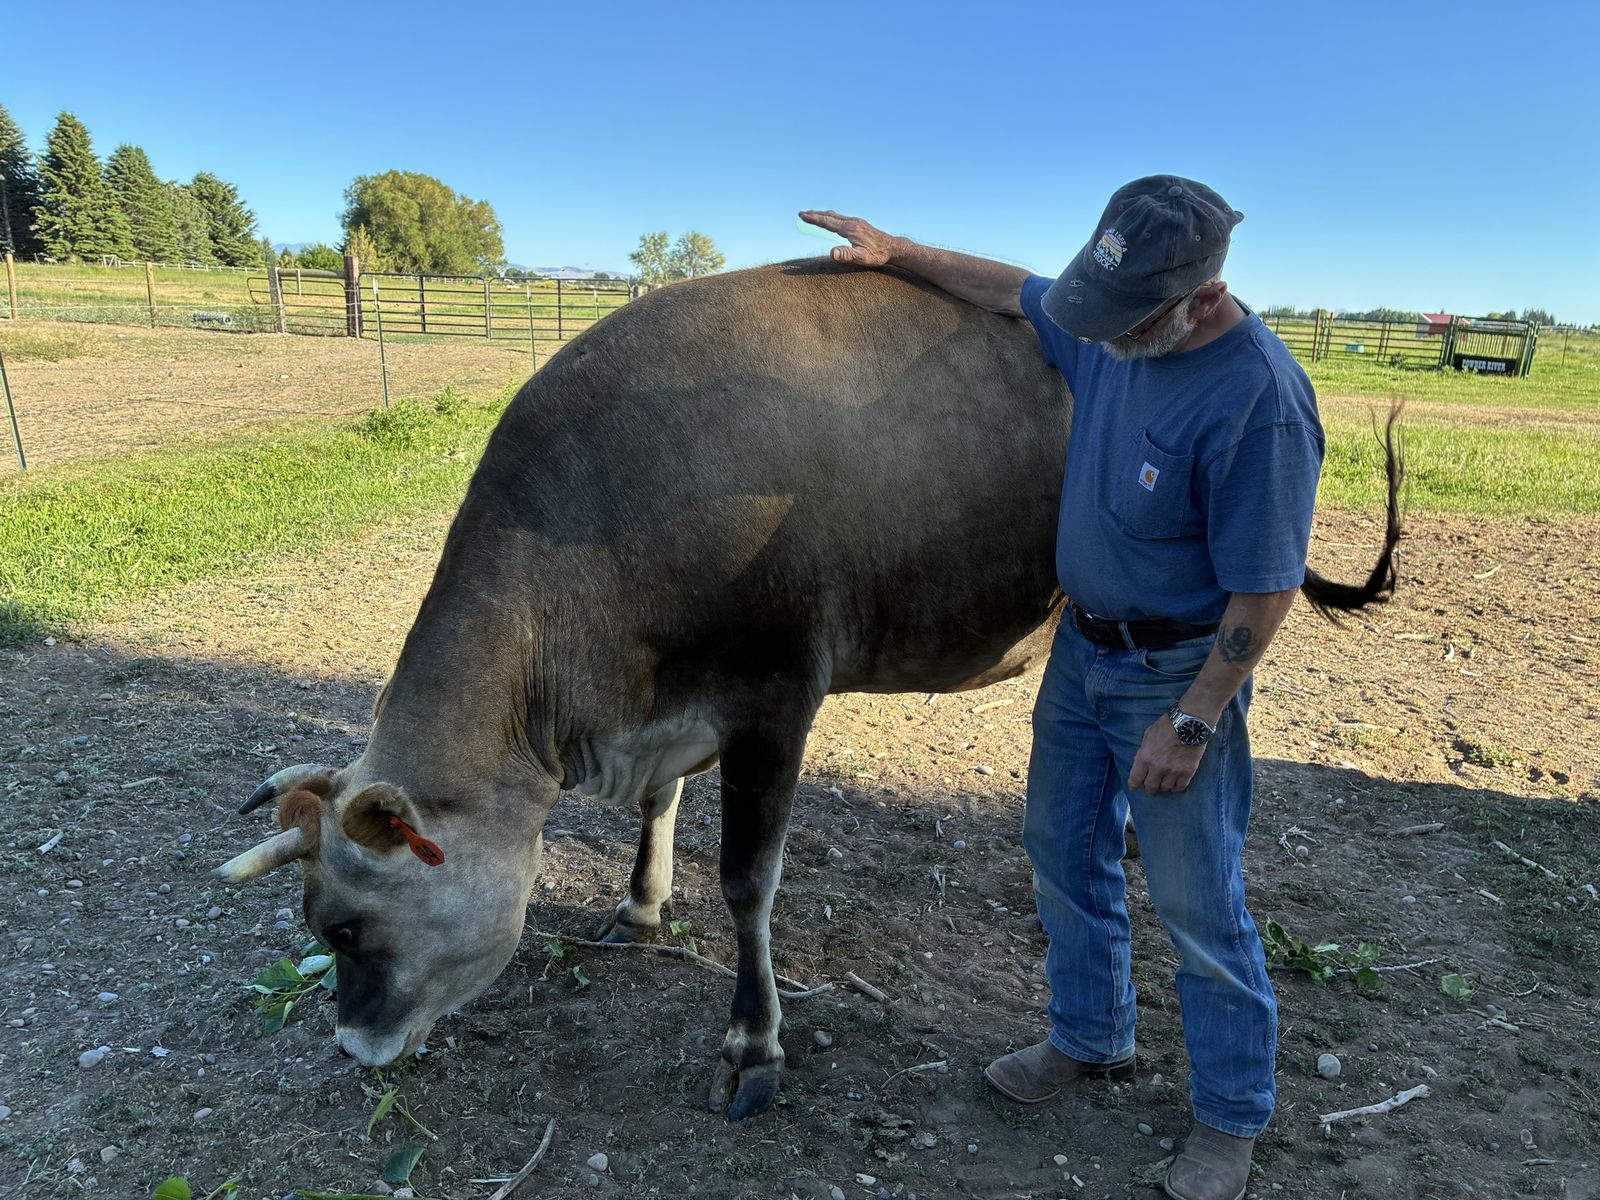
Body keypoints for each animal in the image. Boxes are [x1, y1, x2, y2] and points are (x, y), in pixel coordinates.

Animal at [219, 259, 1399, 1121]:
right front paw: (639, 909)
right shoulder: (668, 709)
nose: (350, 1043)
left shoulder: (776, 693)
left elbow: (748, 881)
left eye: (345, 930)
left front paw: (753, 1047)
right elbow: (661, 810)